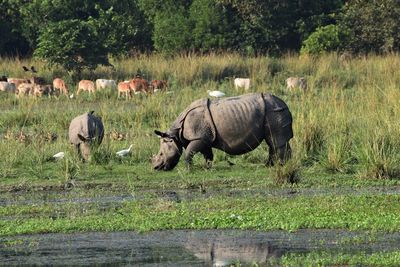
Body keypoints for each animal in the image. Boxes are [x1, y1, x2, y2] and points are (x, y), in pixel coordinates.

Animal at [152, 93, 292, 171]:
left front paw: (188, 170)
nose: (155, 168)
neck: (175, 134)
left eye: (161, 154)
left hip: (274, 111)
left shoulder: (198, 137)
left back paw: (279, 165)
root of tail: (284, 103)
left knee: (275, 141)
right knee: (276, 142)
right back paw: (276, 165)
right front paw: (207, 168)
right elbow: (208, 154)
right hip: (275, 110)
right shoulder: (205, 137)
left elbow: (189, 153)